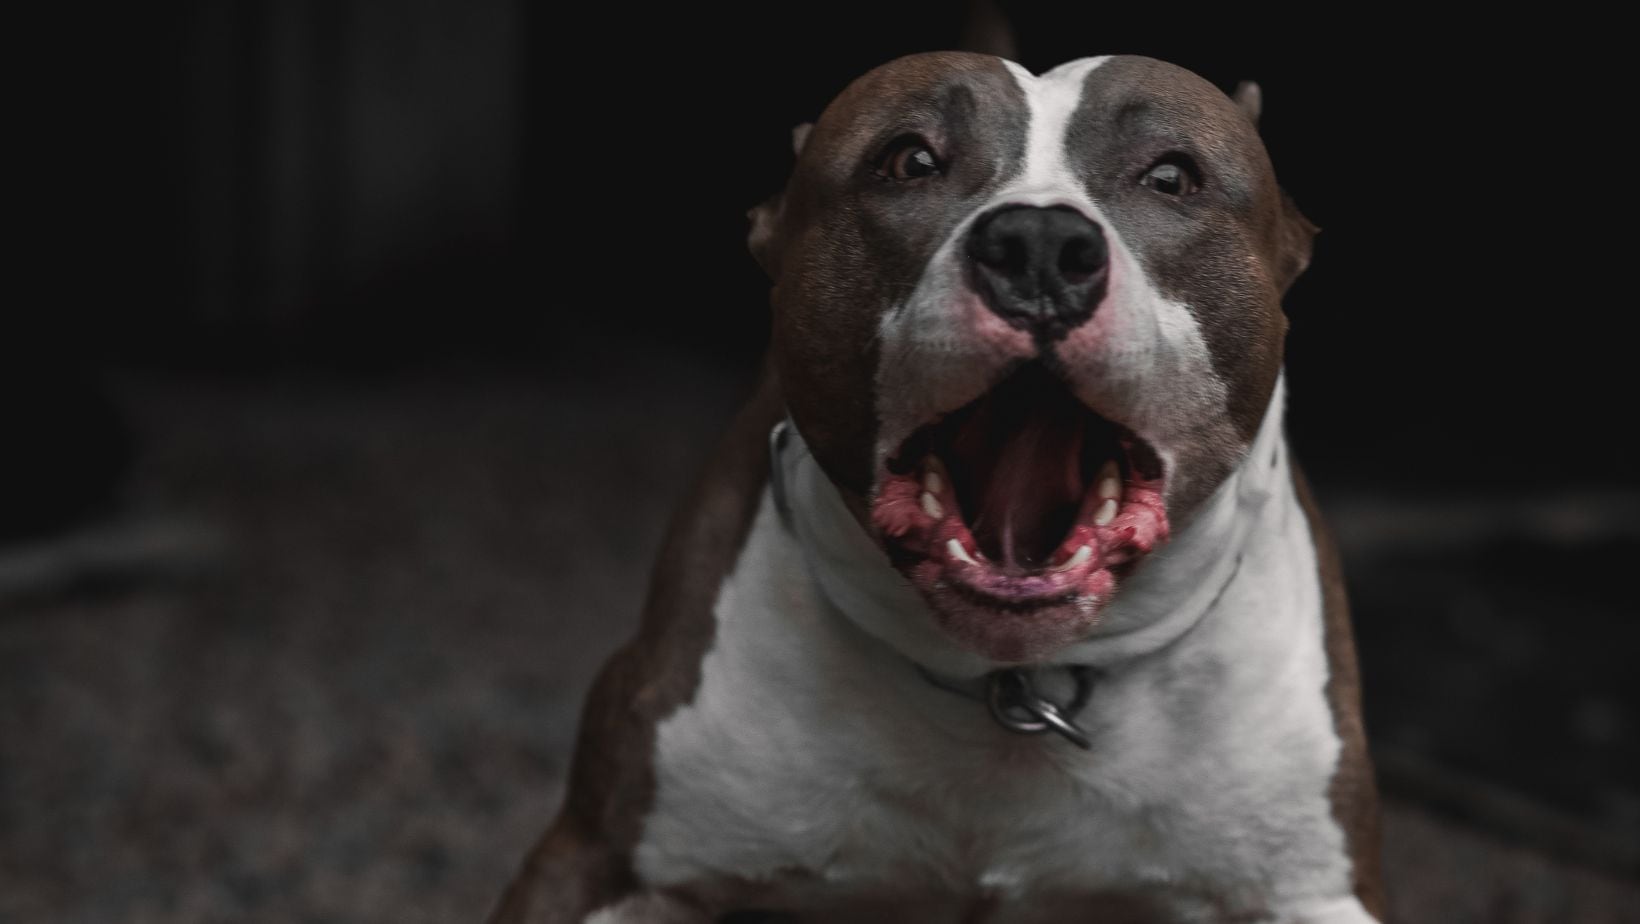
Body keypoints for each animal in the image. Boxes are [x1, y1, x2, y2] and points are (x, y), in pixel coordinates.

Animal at [495, 46, 1384, 924]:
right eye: (909, 161)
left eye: (1171, 176)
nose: (1037, 243)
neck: (1009, 687)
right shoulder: (599, 863)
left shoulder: (1314, 888)